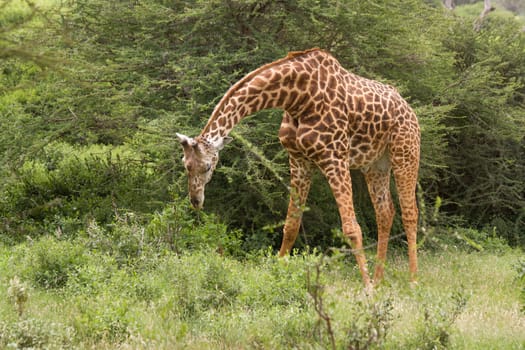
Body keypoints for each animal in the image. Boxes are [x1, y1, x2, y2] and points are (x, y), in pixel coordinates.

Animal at [175, 47, 418, 288]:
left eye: (207, 167)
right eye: (185, 166)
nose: (196, 201)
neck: (296, 97)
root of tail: (409, 108)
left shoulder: (334, 157)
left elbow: (351, 228)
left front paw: (366, 288)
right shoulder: (299, 160)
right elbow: (291, 224)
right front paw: (277, 274)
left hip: (405, 152)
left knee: (409, 213)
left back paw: (411, 280)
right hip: (376, 164)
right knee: (385, 212)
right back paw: (379, 279)